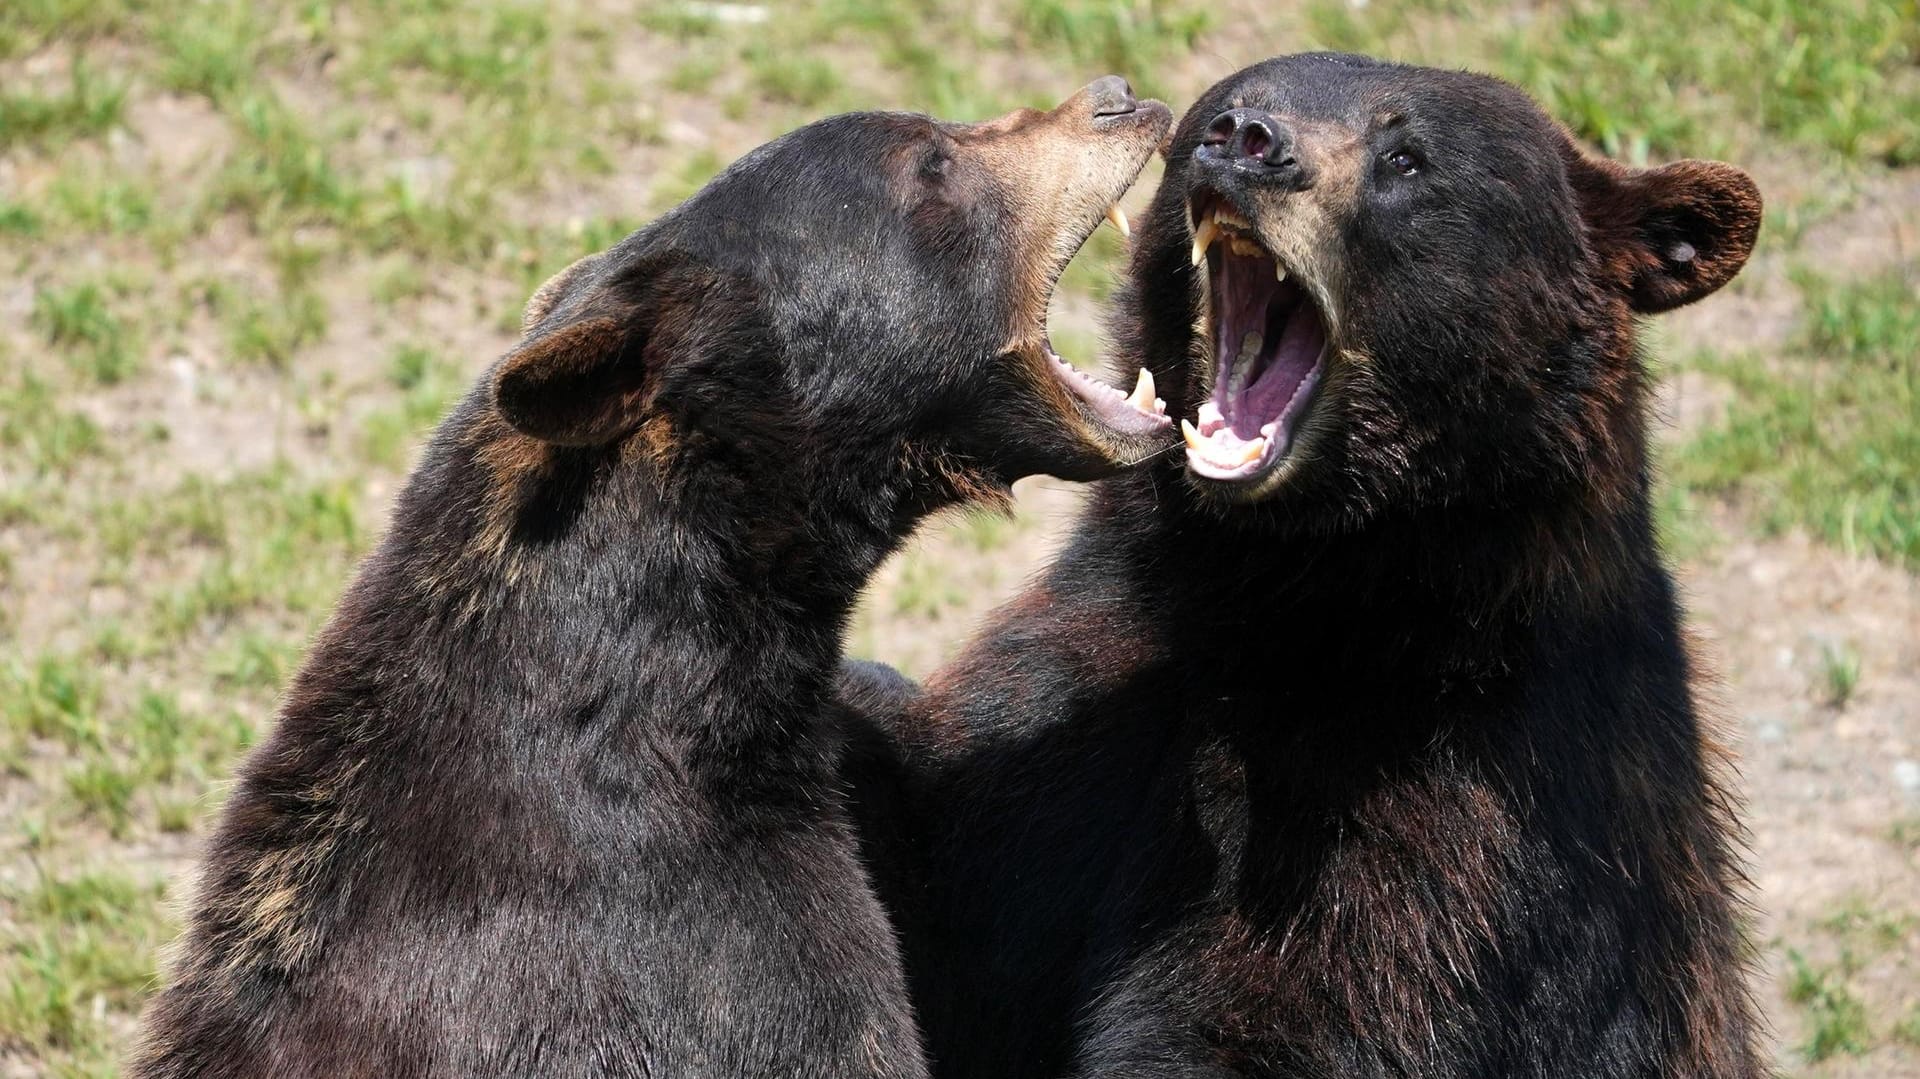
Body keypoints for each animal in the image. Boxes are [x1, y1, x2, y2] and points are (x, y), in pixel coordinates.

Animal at [856, 52, 1766, 1075]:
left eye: (1407, 156)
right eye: (1221, 108)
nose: (1248, 142)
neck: (1293, 588)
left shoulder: (1456, 810)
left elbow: (1278, 1005)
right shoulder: (1080, 687)